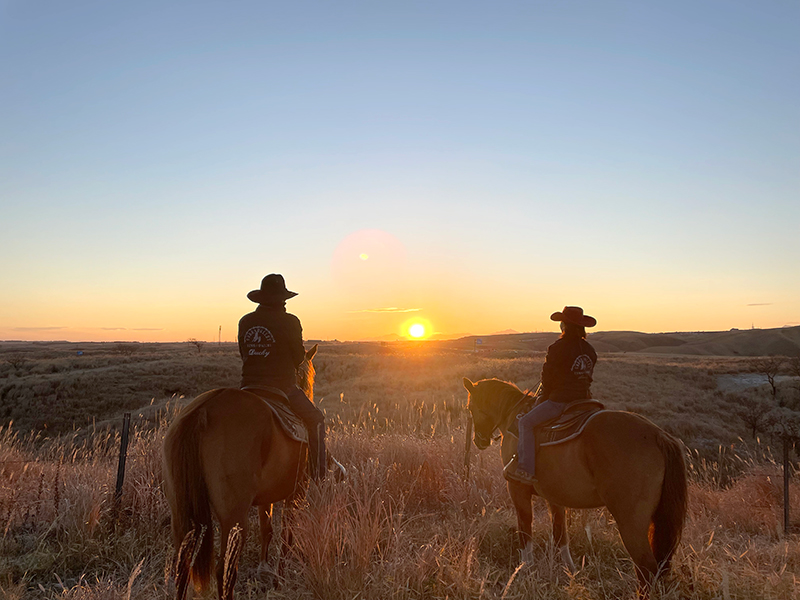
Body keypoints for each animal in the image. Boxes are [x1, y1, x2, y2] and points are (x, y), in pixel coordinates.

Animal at [163, 344, 318, 596]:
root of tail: (203, 411)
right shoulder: (297, 493)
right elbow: (287, 535)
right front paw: (278, 579)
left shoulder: (267, 497)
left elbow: (267, 529)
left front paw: (264, 570)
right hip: (233, 516)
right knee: (225, 571)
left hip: (181, 512)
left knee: (182, 567)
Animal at [462, 378, 688, 592]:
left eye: (471, 408)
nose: (479, 441)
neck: (515, 417)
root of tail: (659, 435)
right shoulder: (555, 497)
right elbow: (561, 535)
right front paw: (569, 570)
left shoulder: (518, 490)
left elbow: (525, 531)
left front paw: (525, 568)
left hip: (631, 523)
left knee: (647, 569)